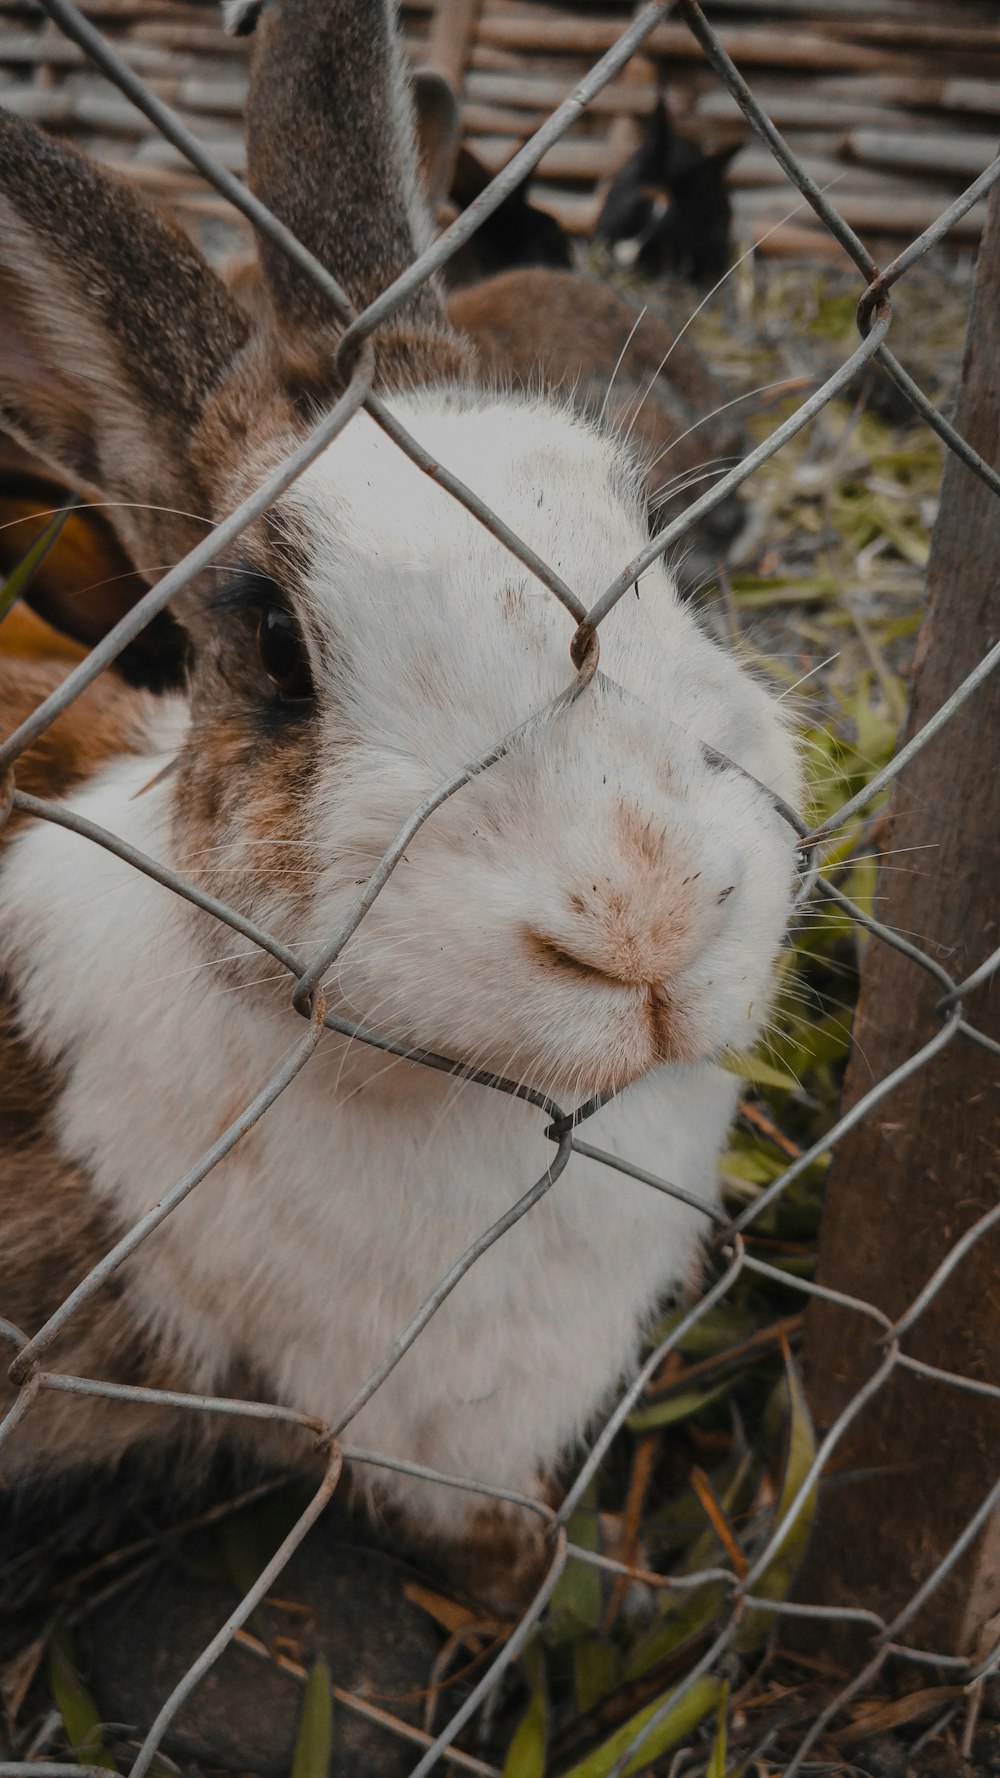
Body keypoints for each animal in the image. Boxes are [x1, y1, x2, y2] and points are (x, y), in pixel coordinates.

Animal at [0, 0, 793, 1607]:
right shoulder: (426, 1431)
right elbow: (477, 1528)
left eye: (650, 536)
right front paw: (548, 1577)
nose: (651, 916)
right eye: (270, 642)